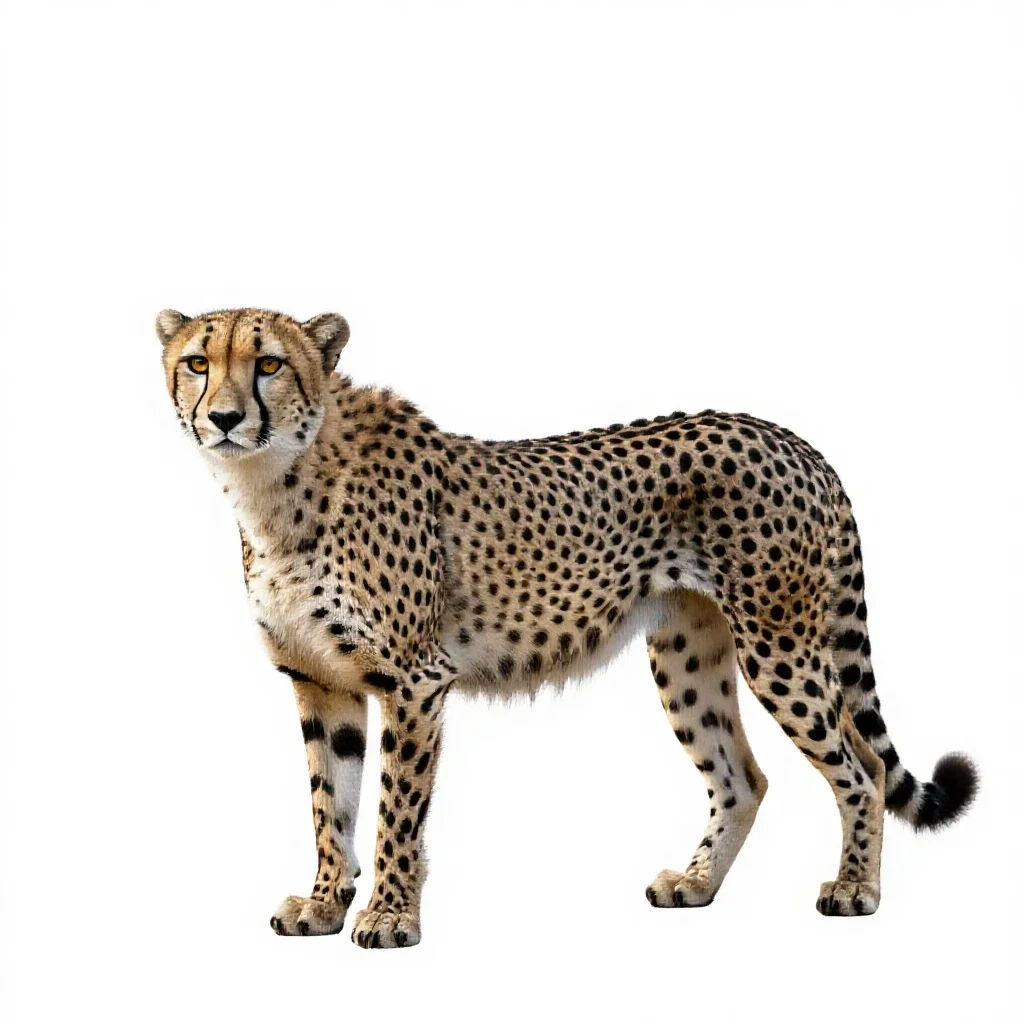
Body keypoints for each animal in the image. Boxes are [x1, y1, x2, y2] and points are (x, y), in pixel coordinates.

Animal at [157, 306, 977, 948]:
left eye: (268, 364)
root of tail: (791, 438)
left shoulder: (414, 680)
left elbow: (393, 807)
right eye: (198, 362)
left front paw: (389, 916)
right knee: (743, 777)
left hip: (781, 647)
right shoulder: (320, 682)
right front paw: (325, 903)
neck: (273, 487)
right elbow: (331, 802)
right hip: (686, 653)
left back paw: (856, 890)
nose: (223, 418)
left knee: (862, 769)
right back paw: (696, 883)